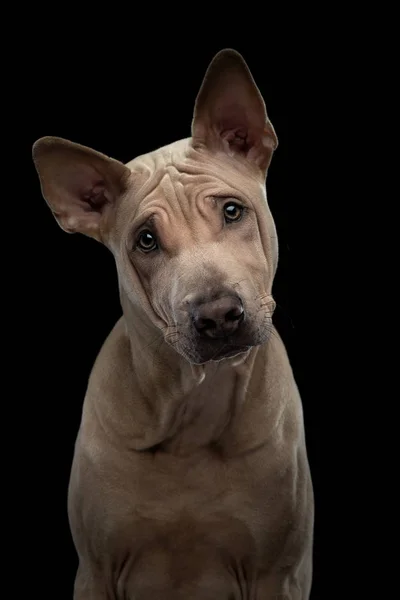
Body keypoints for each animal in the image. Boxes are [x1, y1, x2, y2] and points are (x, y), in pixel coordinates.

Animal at [32, 48, 314, 600]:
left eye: (233, 211)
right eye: (146, 240)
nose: (218, 315)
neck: (192, 414)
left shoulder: (276, 573)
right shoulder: (96, 571)